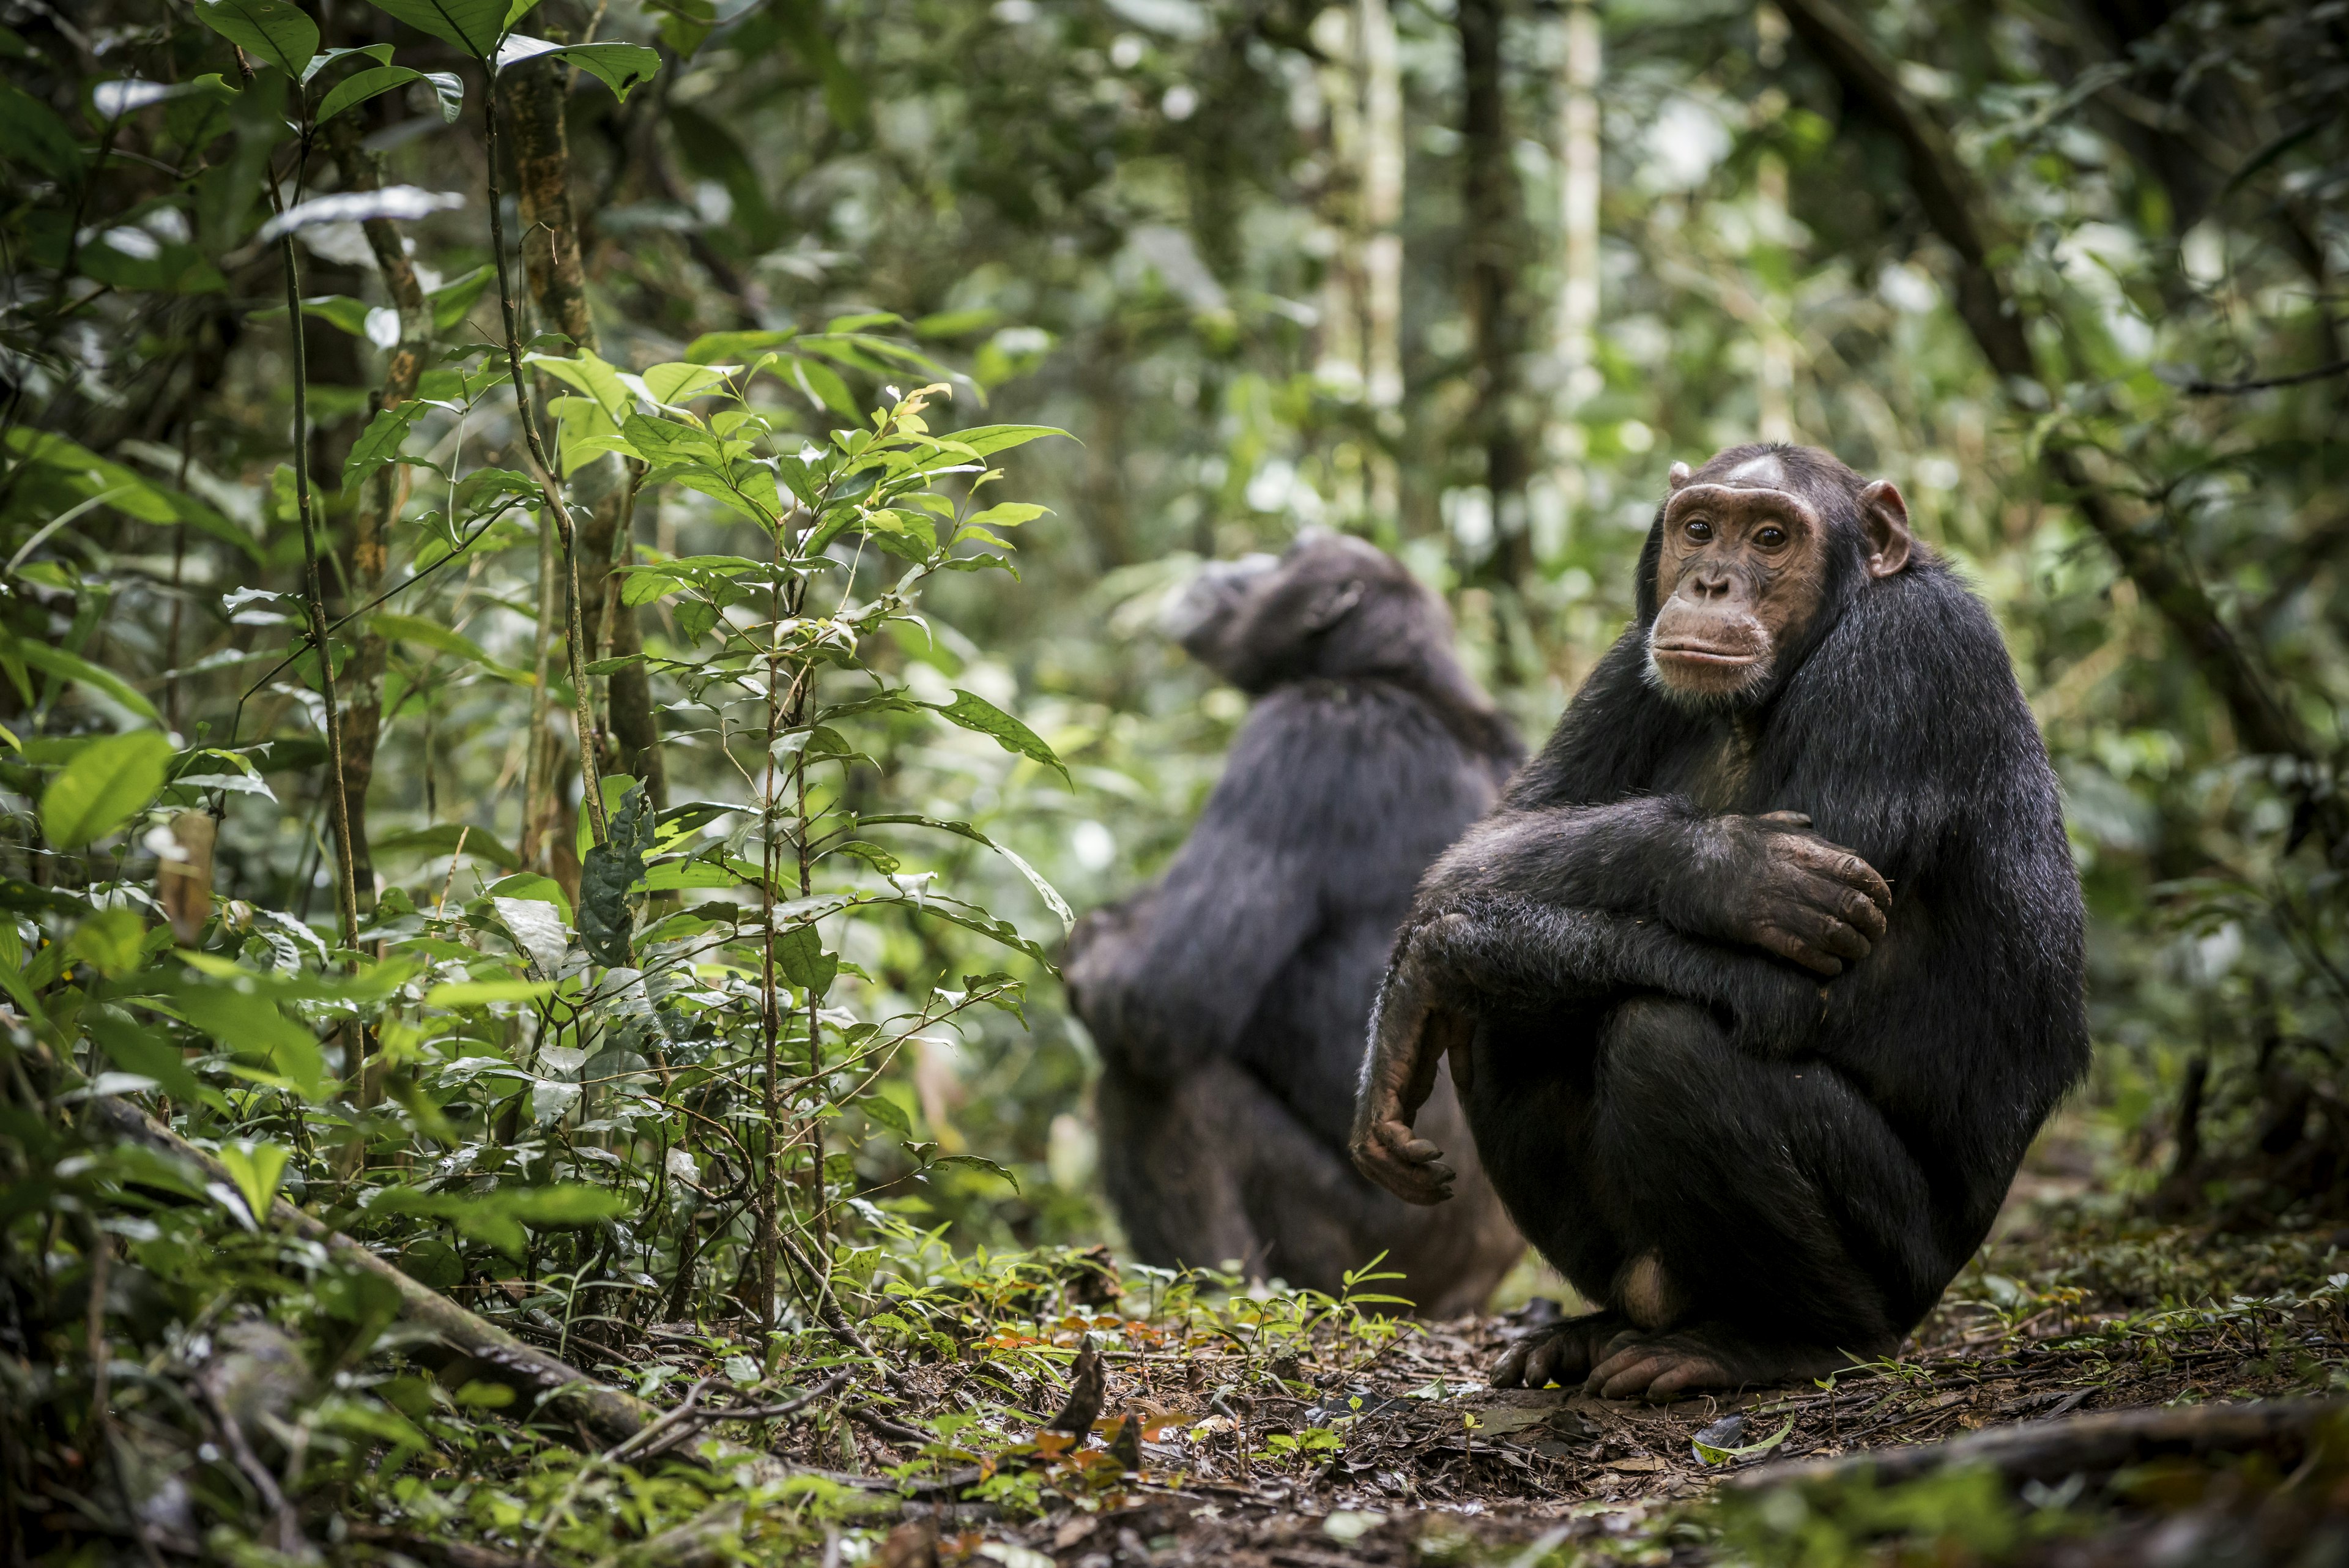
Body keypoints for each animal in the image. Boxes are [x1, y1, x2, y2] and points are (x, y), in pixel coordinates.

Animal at [1066, 533, 1522, 1316]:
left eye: (1290, 552)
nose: (1239, 562)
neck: (1405, 682)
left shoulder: (1304, 736)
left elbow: (1159, 995)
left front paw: (1090, 948)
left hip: (1365, 1263)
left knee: (1165, 1086)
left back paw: (1222, 1294)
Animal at [1362, 442, 2095, 1401]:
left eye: (1772, 537)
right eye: (1701, 528)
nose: (1710, 581)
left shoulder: (1906, 659)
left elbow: (1791, 991)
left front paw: (1440, 956)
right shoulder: (1625, 663)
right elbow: (1495, 838)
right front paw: (1726, 869)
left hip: (1905, 1268)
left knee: (1665, 1040)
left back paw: (1782, 1341)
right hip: (1648, 1270)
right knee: (1507, 1024)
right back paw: (1591, 1332)